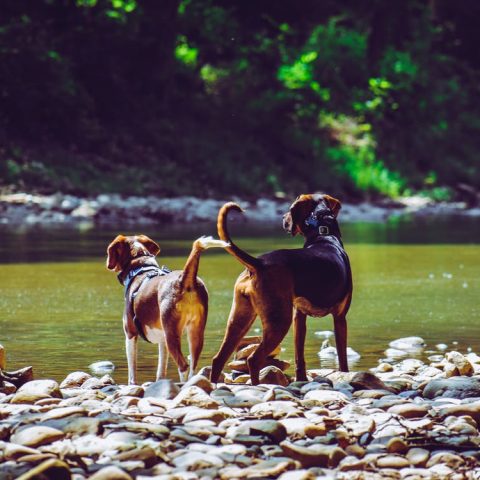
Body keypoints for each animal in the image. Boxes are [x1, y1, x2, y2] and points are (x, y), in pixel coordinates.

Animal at [109, 234, 229, 384]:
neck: (140, 267)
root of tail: (184, 279)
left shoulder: (130, 334)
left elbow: (132, 372)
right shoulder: (162, 340)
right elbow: (161, 370)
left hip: (171, 335)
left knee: (183, 366)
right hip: (195, 332)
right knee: (193, 366)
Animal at [211, 193, 352, 384]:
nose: (283, 218)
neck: (324, 234)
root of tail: (259, 263)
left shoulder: (299, 317)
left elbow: (300, 356)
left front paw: (301, 379)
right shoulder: (340, 318)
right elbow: (342, 357)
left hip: (239, 319)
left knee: (218, 359)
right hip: (279, 321)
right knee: (253, 359)